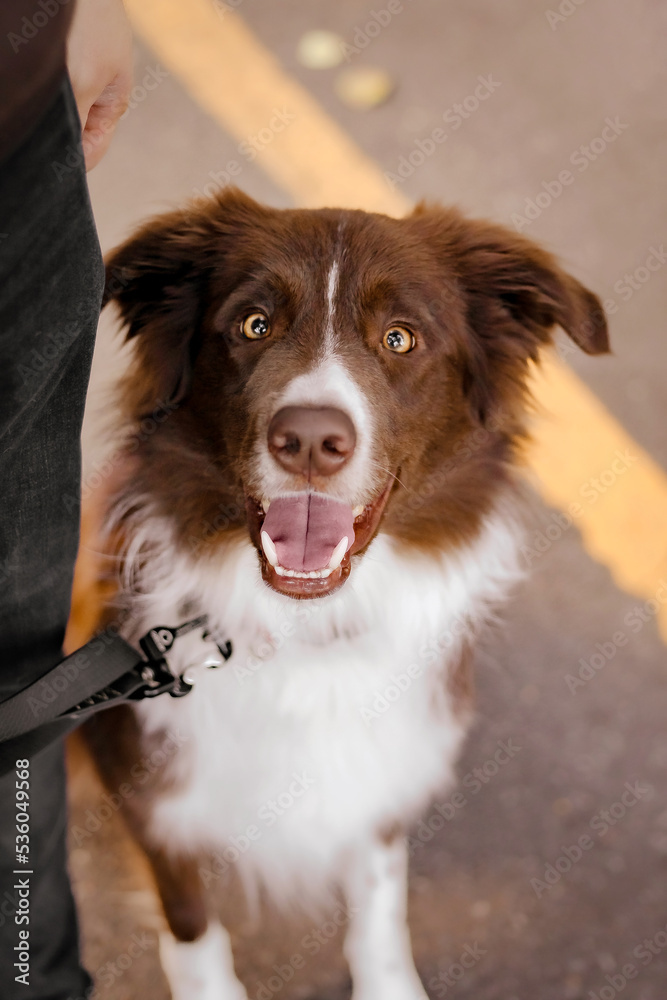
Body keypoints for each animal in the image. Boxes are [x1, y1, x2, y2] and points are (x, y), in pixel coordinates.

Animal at [81, 189, 608, 1000]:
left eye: (399, 338)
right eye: (254, 324)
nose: (307, 441)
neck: (307, 630)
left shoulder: (385, 768)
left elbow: (380, 899)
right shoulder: (150, 794)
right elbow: (194, 924)